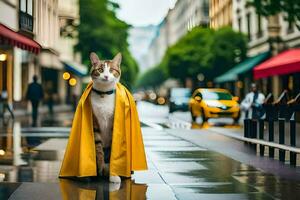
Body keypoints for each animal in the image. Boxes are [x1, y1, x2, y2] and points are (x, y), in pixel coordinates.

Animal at [89, 52, 122, 184]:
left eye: (111, 70)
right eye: (100, 70)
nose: (106, 76)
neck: (103, 94)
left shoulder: (114, 124)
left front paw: (113, 175)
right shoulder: (94, 123)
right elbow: (98, 150)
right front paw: (98, 171)